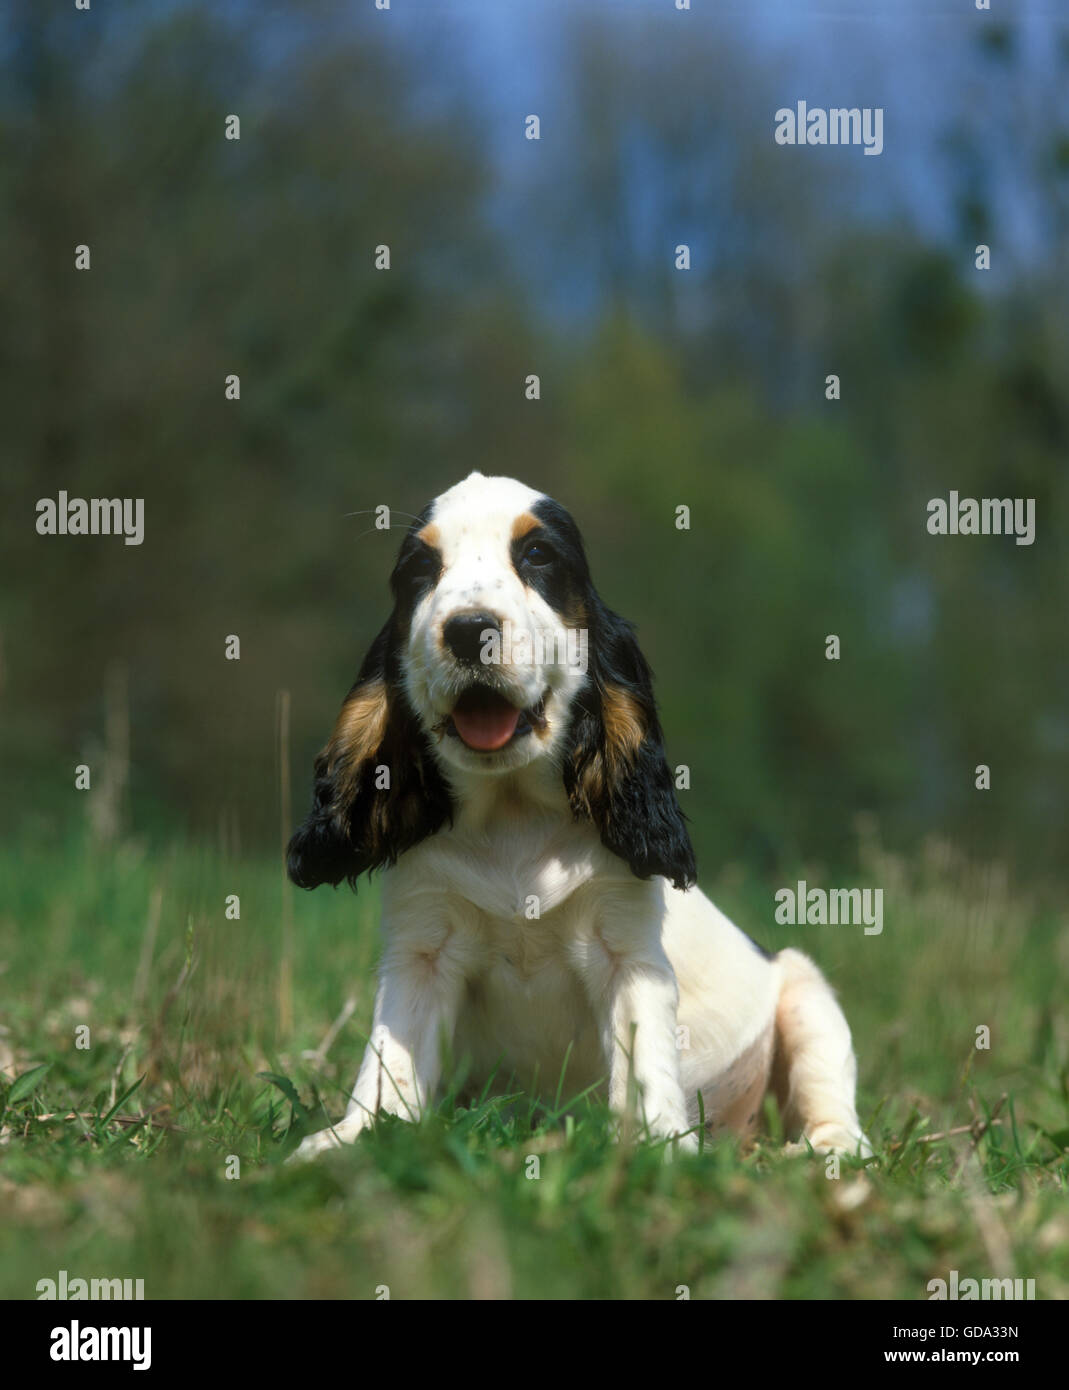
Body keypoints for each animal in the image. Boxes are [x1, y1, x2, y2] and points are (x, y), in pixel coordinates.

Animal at [286, 475, 867, 1162]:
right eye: (421, 570)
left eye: (538, 556)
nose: (469, 630)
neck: (512, 813)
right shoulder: (420, 950)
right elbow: (390, 1059)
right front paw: (351, 1140)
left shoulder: (629, 952)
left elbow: (643, 1065)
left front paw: (656, 1149)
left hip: (807, 994)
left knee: (837, 1106)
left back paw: (821, 1153)